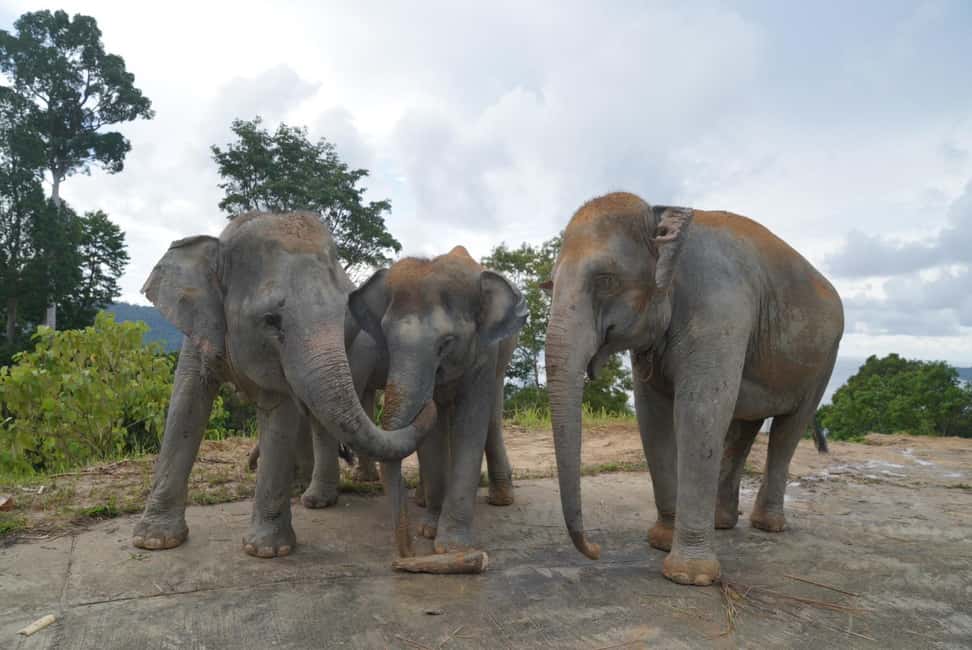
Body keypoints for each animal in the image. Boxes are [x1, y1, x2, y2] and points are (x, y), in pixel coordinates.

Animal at [132, 211, 435, 557]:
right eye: (271, 320)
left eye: (346, 319)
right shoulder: (199, 327)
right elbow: (186, 404)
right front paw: (154, 541)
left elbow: (279, 412)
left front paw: (267, 551)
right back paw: (315, 495)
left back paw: (320, 496)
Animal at [345, 246, 527, 557]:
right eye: (387, 340)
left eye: (446, 343)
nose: (407, 553)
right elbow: (432, 433)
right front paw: (429, 529)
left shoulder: (484, 352)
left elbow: (471, 423)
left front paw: (451, 546)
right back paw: (423, 500)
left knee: (491, 416)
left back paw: (501, 499)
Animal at [544, 192, 843, 586]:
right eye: (549, 286)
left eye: (606, 280)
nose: (595, 551)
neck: (661, 217)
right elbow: (652, 418)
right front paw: (661, 542)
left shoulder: (719, 307)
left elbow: (699, 412)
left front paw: (690, 577)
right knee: (744, 428)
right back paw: (722, 523)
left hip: (824, 361)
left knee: (787, 430)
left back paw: (768, 526)